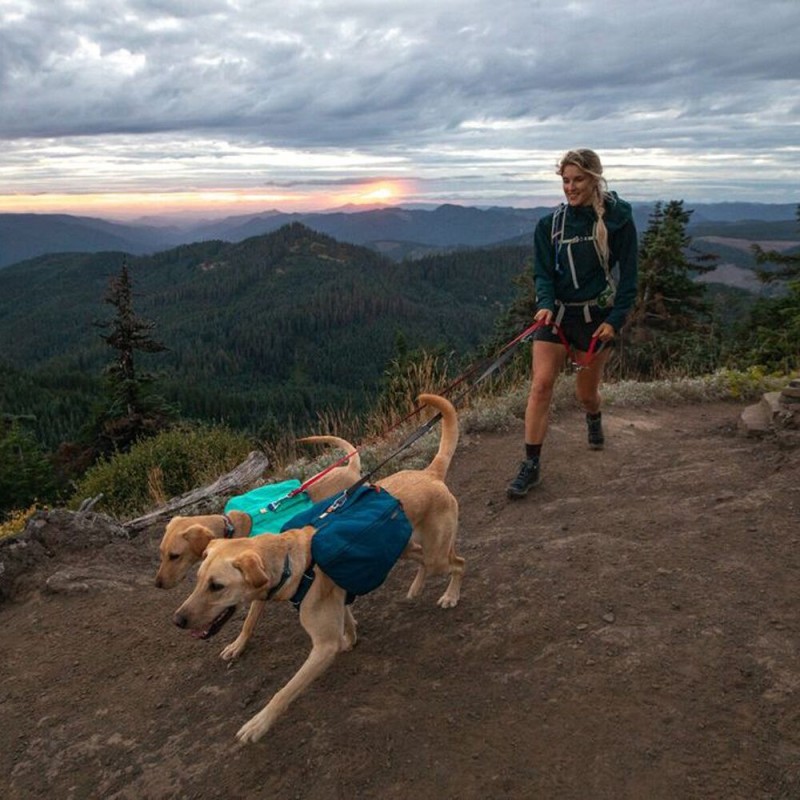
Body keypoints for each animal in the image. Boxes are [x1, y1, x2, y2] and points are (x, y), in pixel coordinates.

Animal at [175, 394, 462, 744]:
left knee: (458, 563)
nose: (178, 620)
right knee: (427, 562)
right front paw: (351, 637)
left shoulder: (322, 647)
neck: (294, 562)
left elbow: (284, 691)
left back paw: (450, 595)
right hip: (407, 547)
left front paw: (258, 724)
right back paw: (416, 587)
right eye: (198, 579)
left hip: (436, 554)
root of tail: (430, 472)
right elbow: (347, 621)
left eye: (217, 586)